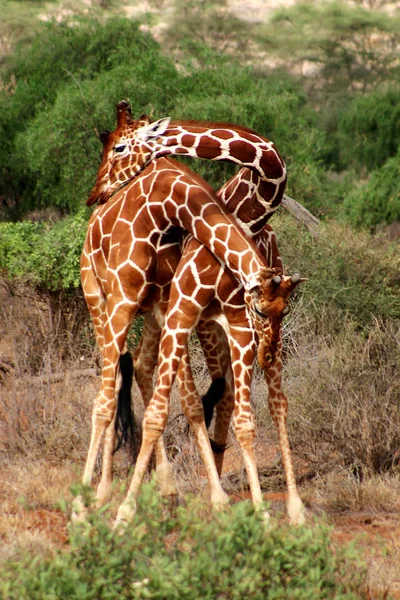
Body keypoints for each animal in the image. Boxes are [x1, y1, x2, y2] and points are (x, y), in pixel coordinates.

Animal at [79, 102, 306, 524]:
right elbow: (164, 407)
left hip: (165, 316)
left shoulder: (232, 319)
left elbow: (245, 410)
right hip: (100, 299)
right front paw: (116, 512)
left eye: (118, 147)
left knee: (161, 375)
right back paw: (100, 495)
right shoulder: (181, 306)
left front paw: (268, 512)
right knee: (115, 388)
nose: (96, 191)